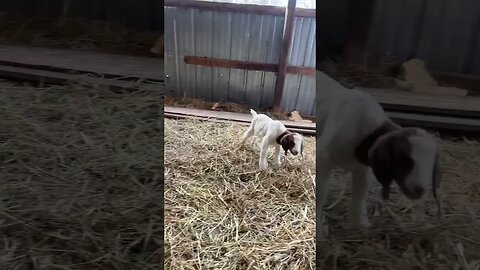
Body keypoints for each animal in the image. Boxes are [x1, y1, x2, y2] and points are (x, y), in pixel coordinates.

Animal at [316, 70, 440, 239]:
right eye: (404, 160)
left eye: (431, 164)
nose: (420, 189)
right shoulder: (323, 155)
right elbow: (320, 194)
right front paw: (319, 234)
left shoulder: (361, 168)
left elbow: (360, 194)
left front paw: (362, 226)